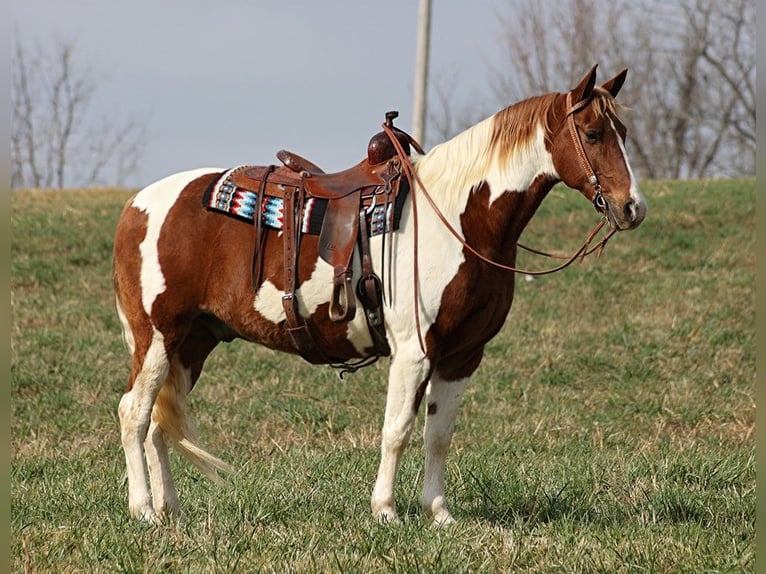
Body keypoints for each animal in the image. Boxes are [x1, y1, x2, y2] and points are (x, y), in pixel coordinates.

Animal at [112, 64, 648, 528]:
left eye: (622, 132)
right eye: (594, 134)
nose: (632, 208)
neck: (458, 218)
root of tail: (136, 205)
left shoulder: (463, 355)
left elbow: (438, 435)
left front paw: (439, 513)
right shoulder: (413, 351)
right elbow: (397, 431)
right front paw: (385, 510)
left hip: (192, 342)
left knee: (158, 422)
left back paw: (170, 510)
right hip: (157, 337)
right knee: (134, 412)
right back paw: (143, 511)